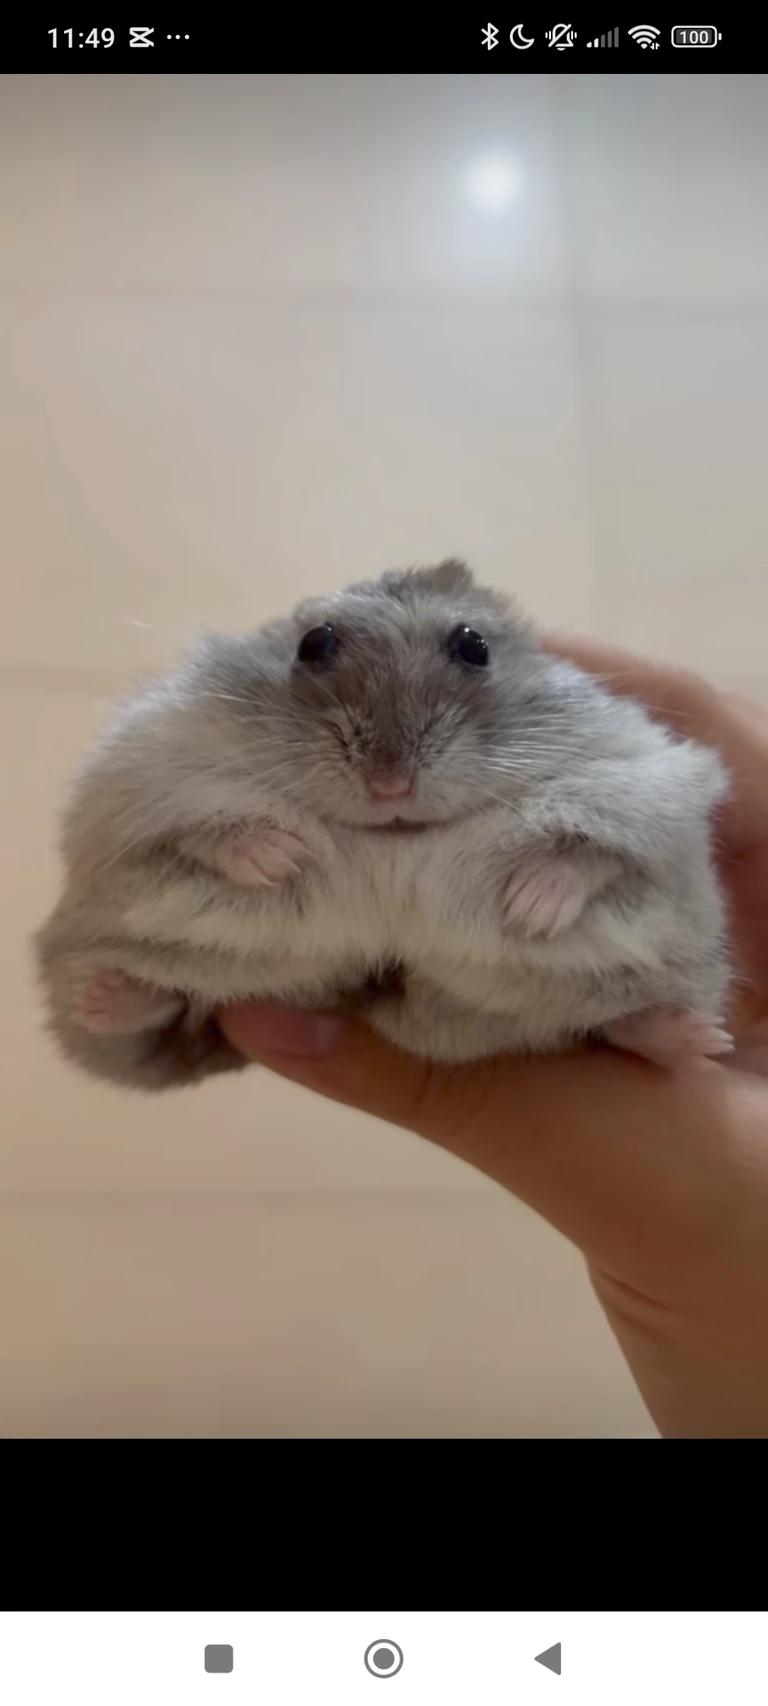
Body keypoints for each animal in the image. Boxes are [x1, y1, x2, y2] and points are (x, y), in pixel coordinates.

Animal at [35, 559, 732, 1091]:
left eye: (473, 645)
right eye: (315, 642)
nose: (390, 784)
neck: (395, 836)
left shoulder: (635, 778)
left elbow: (589, 849)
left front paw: (532, 908)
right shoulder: (151, 770)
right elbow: (207, 826)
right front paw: (280, 858)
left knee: (615, 1025)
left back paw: (698, 1040)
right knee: (165, 1007)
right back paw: (109, 995)